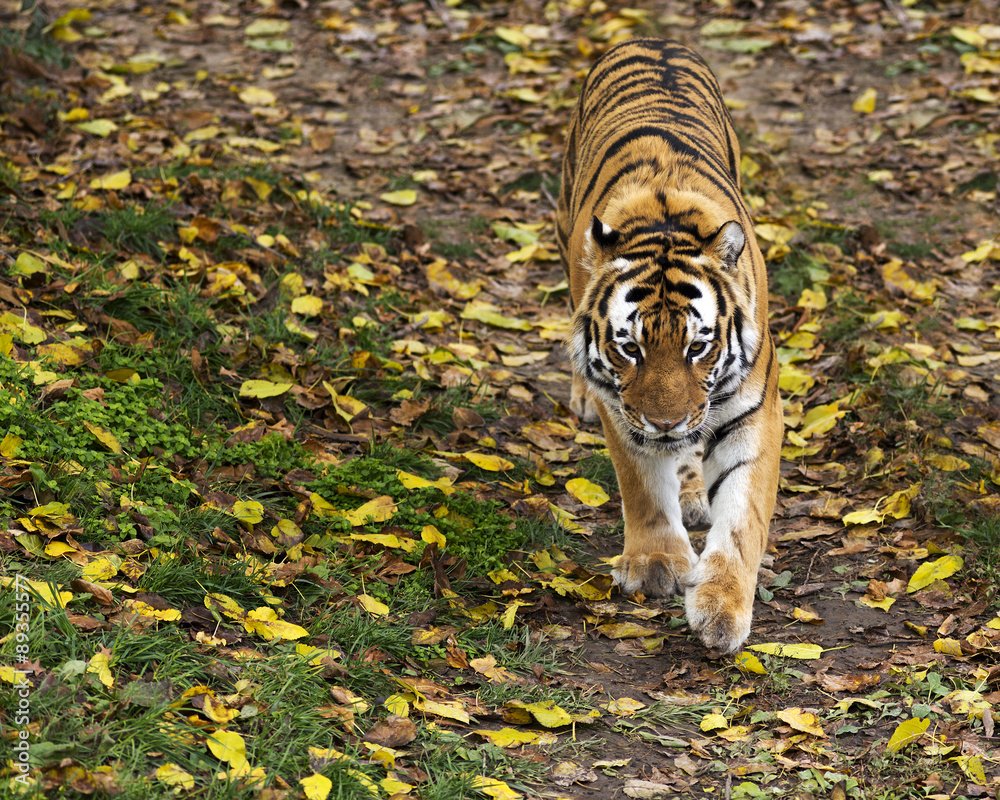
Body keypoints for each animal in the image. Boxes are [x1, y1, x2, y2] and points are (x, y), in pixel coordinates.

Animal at [555, 37, 782, 653]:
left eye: (698, 347)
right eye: (630, 349)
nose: (665, 422)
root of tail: (652, 39)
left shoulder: (754, 412)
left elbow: (742, 518)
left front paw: (722, 608)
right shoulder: (623, 408)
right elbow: (641, 486)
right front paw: (657, 563)